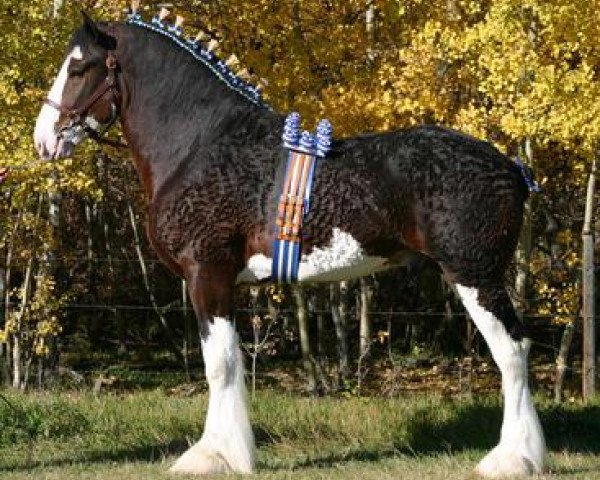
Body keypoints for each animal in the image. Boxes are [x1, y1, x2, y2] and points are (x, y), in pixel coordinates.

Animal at [34, 12, 548, 480]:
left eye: (79, 68)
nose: (43, 140)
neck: (201, 143)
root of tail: (510, 168)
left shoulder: (207, 273)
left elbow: (219, 365)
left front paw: (214, 456)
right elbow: (231, 362)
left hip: (474, 275)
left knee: (512, 351)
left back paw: (512, 459)